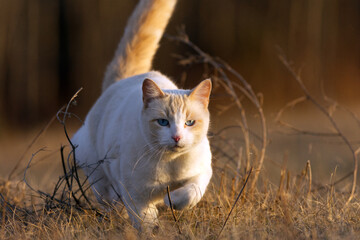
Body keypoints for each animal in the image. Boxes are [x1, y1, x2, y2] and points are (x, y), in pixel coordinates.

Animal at [71, 0, 212, 229]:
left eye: (190, 122)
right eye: (162, 122)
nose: (176, 137)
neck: (170, 164)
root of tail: (125, 79)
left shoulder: (202, 172)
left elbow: (190, 192)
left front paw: (172, 200)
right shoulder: (135, 196)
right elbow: (144, 222)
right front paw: (152, 227)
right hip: (99, 177)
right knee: (110, 202)